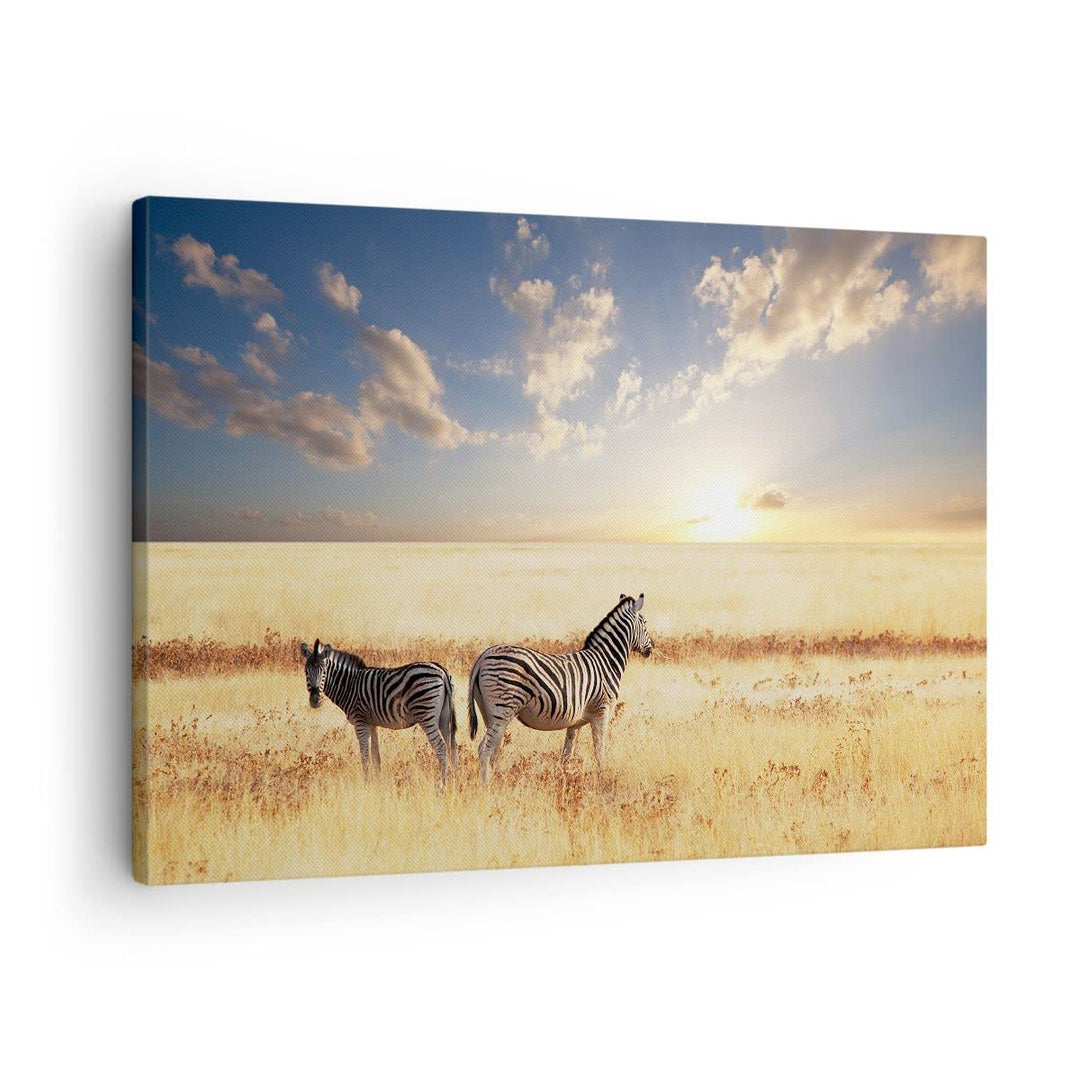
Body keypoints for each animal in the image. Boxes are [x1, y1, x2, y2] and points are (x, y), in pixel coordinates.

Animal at [300, 639, 458, 784]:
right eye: (306, 672)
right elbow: (376, 757)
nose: (315, 701)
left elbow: (365, 757)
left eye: (324, 672)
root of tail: (441, 671)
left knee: (441, 747)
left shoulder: (360, 722)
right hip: (444, 717)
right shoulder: (372, 723)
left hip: (426, 714)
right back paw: (457, 780)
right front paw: (378, 782)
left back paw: (442, 784)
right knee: (453, 746)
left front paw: (366, 783)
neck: (349, 685)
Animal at [467, 593, 654, 781]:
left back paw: (500, 780)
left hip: (490, 713)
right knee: (485, 749)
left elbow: (566, 754)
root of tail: (483, 656)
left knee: (494, 749)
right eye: (645, 622)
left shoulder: (576, 721)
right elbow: (599, 750)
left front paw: (564, 779)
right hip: (503, 709)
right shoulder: (602, 710)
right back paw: (486, 784)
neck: (606, 661)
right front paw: (602, 777)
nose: (651, 648)